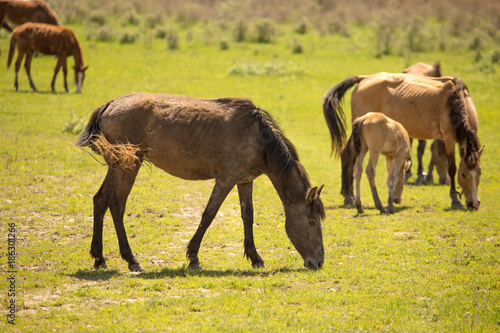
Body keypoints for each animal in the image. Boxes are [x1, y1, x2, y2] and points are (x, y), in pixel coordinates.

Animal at [77, 92, 328, 272]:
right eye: (311, 221)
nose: (318, 262)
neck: (257, 138)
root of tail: (110, 105)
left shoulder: (244, 181)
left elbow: (248, 216)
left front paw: (255, 258)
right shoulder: (226, 179)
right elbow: (209, 214)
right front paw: (193, 258)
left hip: (116, 164)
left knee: (100, 200)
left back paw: (99, 259)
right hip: (130, 164)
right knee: (117, 205)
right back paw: (132, 260)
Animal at [324, 72, 484, 210]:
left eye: (479, 173)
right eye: (463, 174)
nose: (475, 203)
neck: (453, 102)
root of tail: (364, 78)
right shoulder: (448, 139)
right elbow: (452, 168)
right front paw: (455, 200)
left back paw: (351, 196)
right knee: (347, 155)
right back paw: (349, 196)